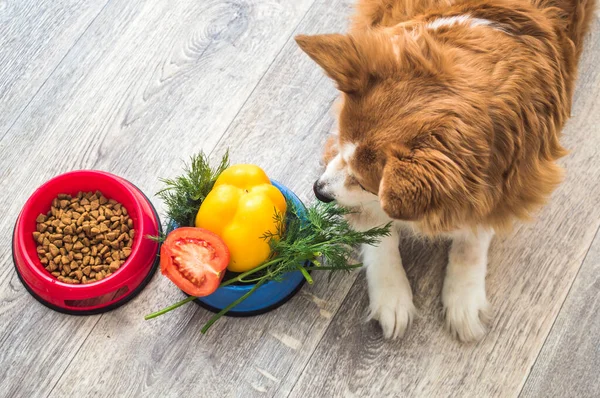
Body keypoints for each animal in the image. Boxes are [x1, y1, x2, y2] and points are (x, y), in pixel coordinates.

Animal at [296, 0, 596, 342]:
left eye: (363, 182)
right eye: (343, 148)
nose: (318, 191)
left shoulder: (508, 184)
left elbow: (472, 238)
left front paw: (464, 298)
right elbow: (376, 230)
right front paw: (391, 296)